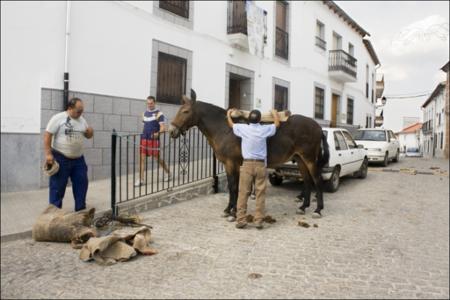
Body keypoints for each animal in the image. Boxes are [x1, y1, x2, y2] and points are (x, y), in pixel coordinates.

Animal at [171, 89, 328, 218]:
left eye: (185, 111)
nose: (172, 131)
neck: (225, 129)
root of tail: (318, 127)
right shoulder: (233, 165)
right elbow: (235, 187)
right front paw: (230, 209)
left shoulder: (232, 164)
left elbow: (234, 187)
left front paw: (232, 212)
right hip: (300, 159)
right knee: (307, 181)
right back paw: (303, 207)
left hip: (309, 159)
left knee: (317, 180)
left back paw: (318, 210)